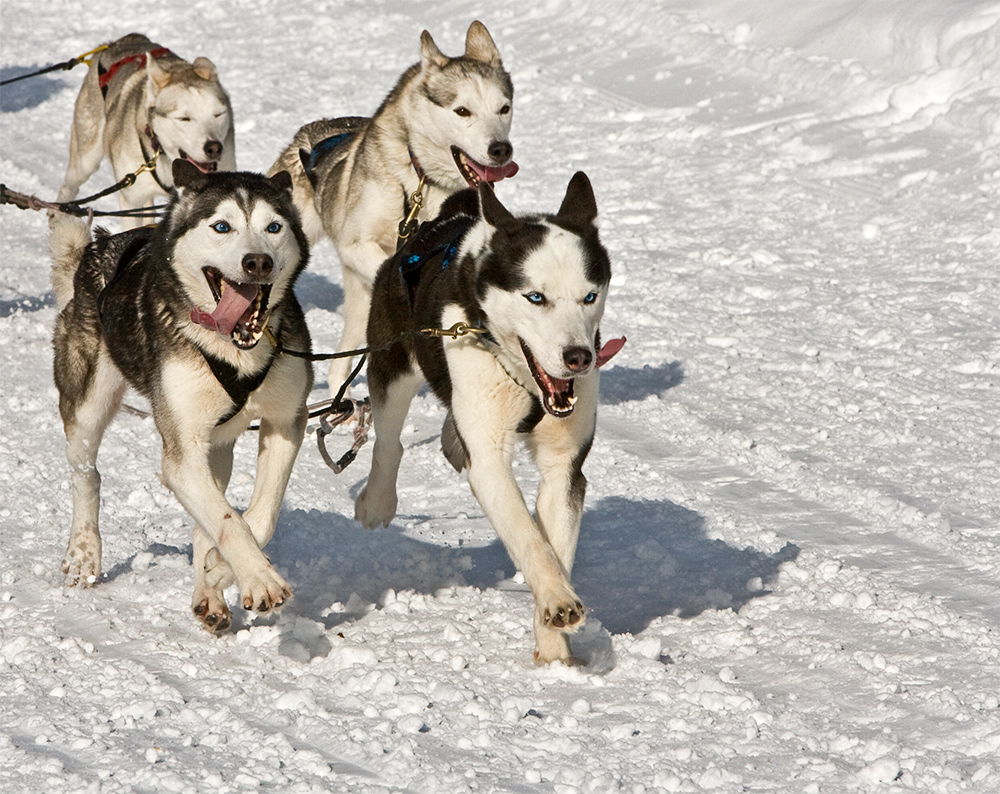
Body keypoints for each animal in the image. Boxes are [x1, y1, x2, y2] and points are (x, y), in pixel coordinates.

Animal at [49, 159, 312, 632]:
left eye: (274, 226)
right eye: (222, 226)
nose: (258, 261)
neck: (233, 350)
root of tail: (94, 252)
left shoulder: (286, 421)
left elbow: (257, 517)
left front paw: (222, 571)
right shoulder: (181, 451)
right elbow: (230, 521)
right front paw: (258, 578)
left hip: (216, 444)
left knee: (206, 516)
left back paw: (209, 592)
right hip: (88, 404)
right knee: (87, 474)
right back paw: (83, 552)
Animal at [58, 32, 236, 227]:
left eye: (218, 114)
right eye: (183, 118)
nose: (214, 148)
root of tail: (112, 44)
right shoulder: (131, 201)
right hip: (85, 160)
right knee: (68, 188)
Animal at [272, 23, 520, 394]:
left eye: (504, 108)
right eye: (462, 111)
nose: (501, 149)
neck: (420, 180)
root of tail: (312, 131)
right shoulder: (355, 246)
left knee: (341, 364)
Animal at [360, 176, 620, 664]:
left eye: (589, 296)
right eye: (536, 297)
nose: (579, 357)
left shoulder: (564, 468)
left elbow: (553, 543)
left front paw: (554, 649)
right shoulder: (488, 460)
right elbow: (528, 537)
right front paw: (557, 599)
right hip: (393, 363)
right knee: (387, 442)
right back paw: (375, 502)